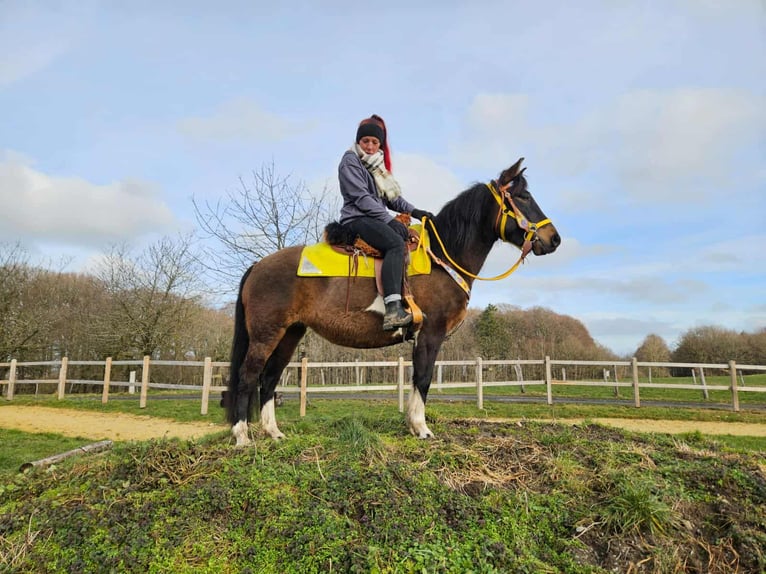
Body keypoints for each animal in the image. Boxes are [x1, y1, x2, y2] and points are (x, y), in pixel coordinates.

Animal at [225, 158, 560, 445]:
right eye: (524, 196)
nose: (554, 239)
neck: (442, 256)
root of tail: (258, 266)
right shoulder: (431, 333)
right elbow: (423, 378)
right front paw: (421, 428)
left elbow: (416, 379)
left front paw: (414, 425)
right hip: (266, 334)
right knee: (248, 376)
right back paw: (242, 435)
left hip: (290, 334)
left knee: (269, 378)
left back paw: (273, 432)